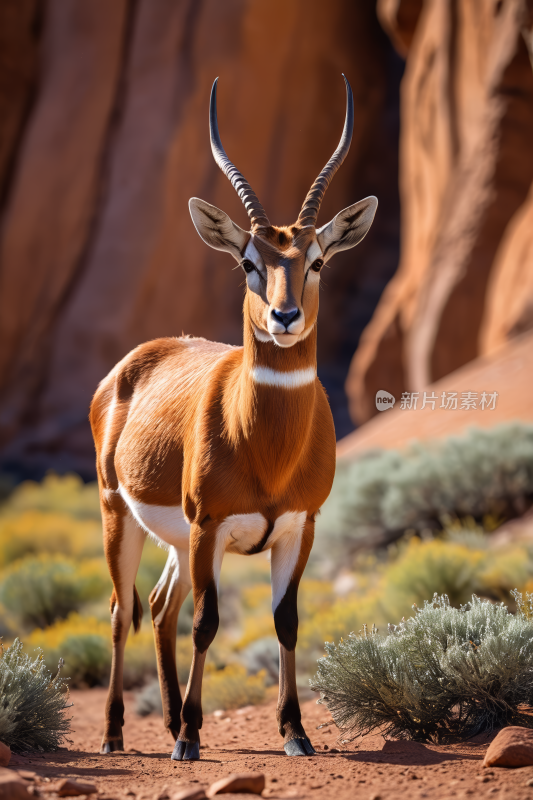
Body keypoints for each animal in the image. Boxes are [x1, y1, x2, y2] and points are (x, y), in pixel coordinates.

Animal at [90, 75, 374, 764]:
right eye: (248, 260)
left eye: (317, 259)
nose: (284, 316)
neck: (264, 448)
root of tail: (131, 364)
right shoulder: (210, 525)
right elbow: (208, 623)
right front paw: (192, 739)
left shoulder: (299, 527)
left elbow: (286, 620)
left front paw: (296, 732)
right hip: (123, 517)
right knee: (122, 610)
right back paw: (118, 734)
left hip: (174, 539)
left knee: (158, 606)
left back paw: (167, 721)